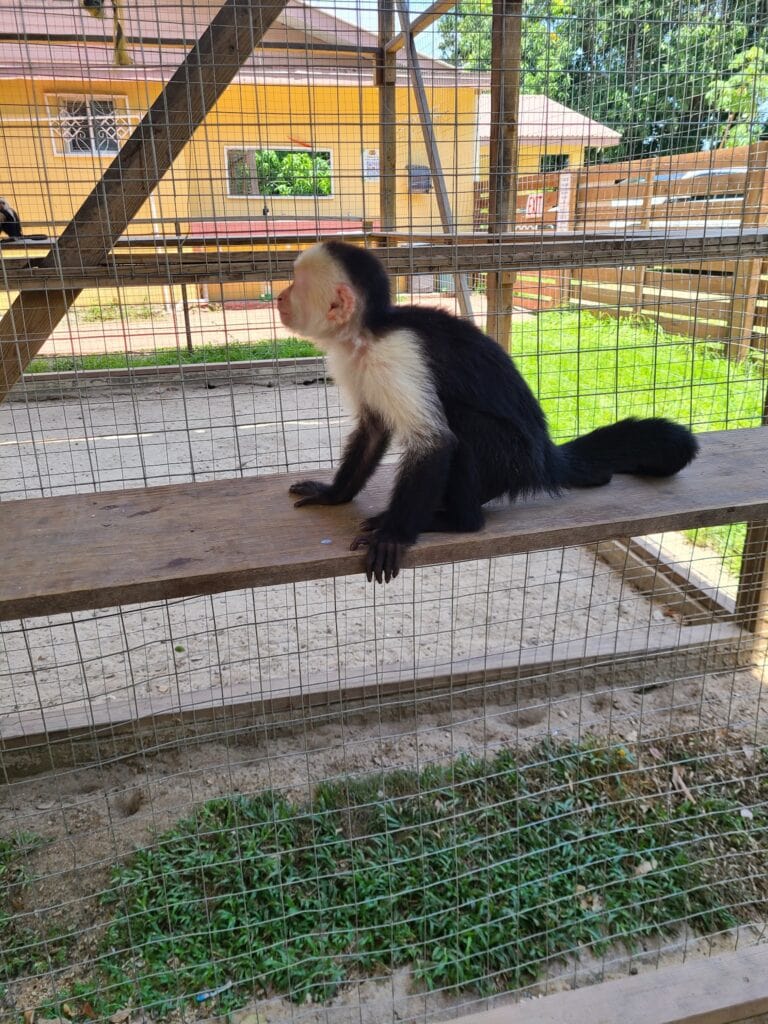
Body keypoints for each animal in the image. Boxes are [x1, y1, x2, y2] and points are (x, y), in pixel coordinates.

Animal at [276, 241, 698, 584]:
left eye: (295, 283)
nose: (279, 297)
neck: (366, 334)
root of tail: (544, 457)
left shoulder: (395, 355)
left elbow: (434, 442)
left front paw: (394, 536)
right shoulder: (352, 362)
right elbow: (373, 431)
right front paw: (334, 495)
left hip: (510, 459)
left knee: (462, 426)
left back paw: (456, 521)